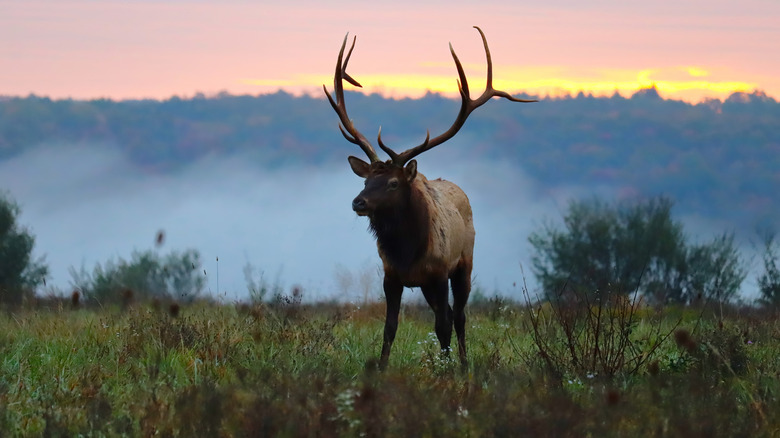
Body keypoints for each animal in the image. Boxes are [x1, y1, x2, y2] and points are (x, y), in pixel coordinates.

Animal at [322, 26, 536, 370]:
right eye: (367, 179)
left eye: (393, 183)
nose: (358, 202)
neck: (407, 250)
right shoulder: (392, 276)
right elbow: (390, 327)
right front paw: (381, 369)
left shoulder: (438, 273)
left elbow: (443, 326)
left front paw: (446, 371)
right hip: (426, 284)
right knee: (447, 314)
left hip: (463, 265)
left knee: (458, 316)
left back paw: (462, 364)